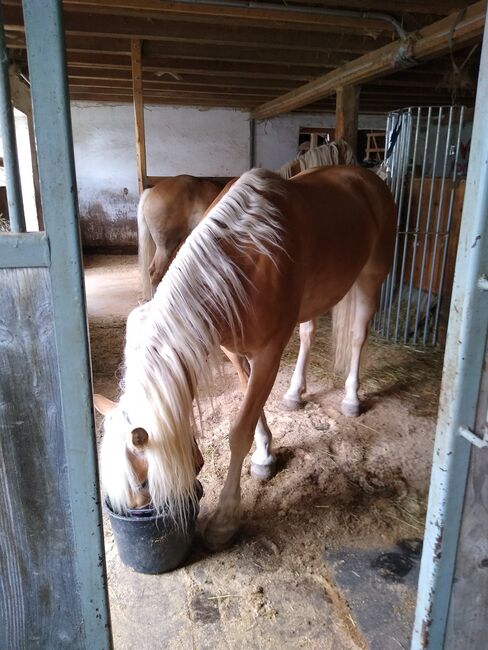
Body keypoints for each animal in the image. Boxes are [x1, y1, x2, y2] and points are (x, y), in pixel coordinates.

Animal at [95, 165, 396, 544]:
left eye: (144, 483)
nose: (140, 514)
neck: (244, 258)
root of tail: (365, 176)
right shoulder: (235, 351)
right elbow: (252, 409)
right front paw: (265, 454)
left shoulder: (268, 353)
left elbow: (240, 430)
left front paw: (224, 517)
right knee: (309, 333)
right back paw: (295, 393)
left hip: (371, 278)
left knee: (357, 337)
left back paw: (351, 399)